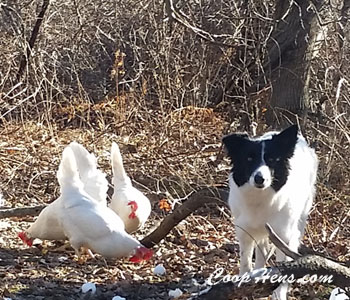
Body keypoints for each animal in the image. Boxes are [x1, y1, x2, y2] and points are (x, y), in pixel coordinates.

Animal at [223, 125, 318, 298]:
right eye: (249, 159)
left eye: (272, 160)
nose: (259, 178)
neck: (260, 198)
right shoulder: (245, 231)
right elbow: (245, 261)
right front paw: (243, 283)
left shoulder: (283, 234)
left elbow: (283, 265)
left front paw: (279, 293)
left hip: (300, 218)